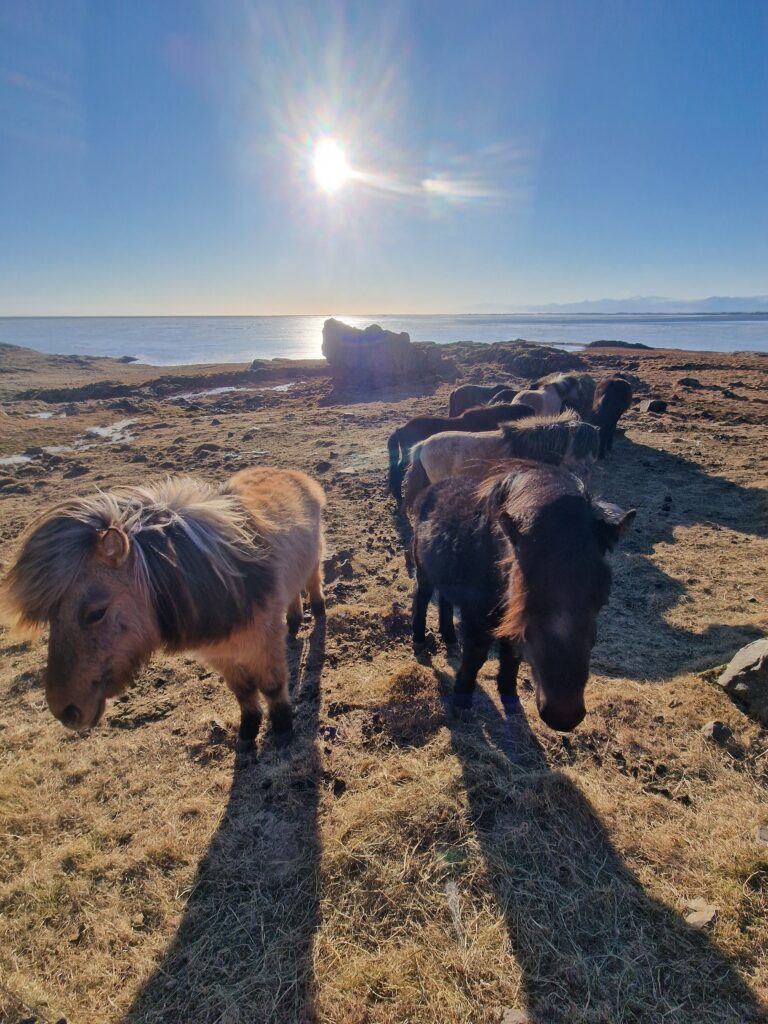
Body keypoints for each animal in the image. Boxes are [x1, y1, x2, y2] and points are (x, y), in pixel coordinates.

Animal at [0, 468, 325, 749]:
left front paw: (282, 730)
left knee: (312, 583)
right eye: (52, 617)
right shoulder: (223, 656)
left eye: (96, 612)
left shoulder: (264, 644)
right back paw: (293, 625)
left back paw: (316, 614)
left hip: (313, 562)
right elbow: (243, 693)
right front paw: (247, 733)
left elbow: (272, 686)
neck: (227, 581)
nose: (65, 711)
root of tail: (295, 475)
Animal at [411, 460, 634, 733]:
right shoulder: (478, 617)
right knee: (422, 598)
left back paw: (450, 639)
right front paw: (462, 701)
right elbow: (476, 656)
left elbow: (512, 658)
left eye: (602, 597)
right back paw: (419, 640)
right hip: (424, 571)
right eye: (526, 593)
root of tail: (432, 489)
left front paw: (510, 699)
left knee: (444, 601)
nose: (564, 715)